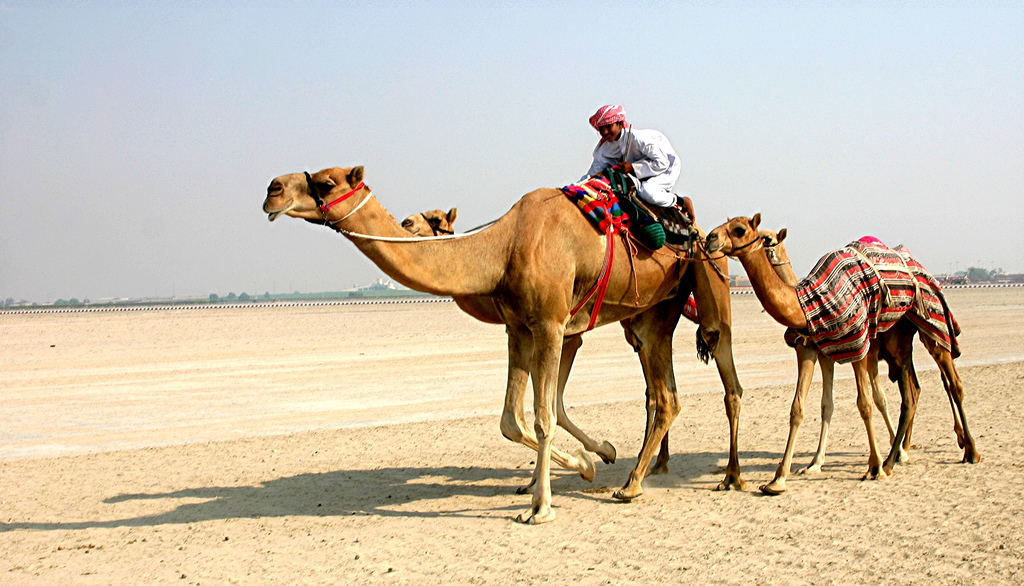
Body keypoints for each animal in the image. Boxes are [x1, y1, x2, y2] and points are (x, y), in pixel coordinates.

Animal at [264, 163, 745, 522]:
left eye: (326, 182)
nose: (272, 189)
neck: (504, 248)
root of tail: (695, 232)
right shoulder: (520, 328)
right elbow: (515, 419)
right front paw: (584, 463)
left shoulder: (553, 325)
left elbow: (546, 414)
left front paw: (543, 504)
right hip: (647, 314)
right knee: (662, 394)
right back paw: (638, 475)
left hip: (689, 292)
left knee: (692, 386)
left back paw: (658, 482)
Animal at [708, 215, 978, 493]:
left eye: (741, 230)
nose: (710, 238)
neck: (808, 303)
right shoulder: (814, 350)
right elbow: (806, 407)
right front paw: (784, 477)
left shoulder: (859, 347)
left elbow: (866, 403)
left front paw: (874, 467)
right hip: (898, 341)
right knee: (913, 392)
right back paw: (900, 453)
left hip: (930, 326)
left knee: (950, 382)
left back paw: (966, 451)